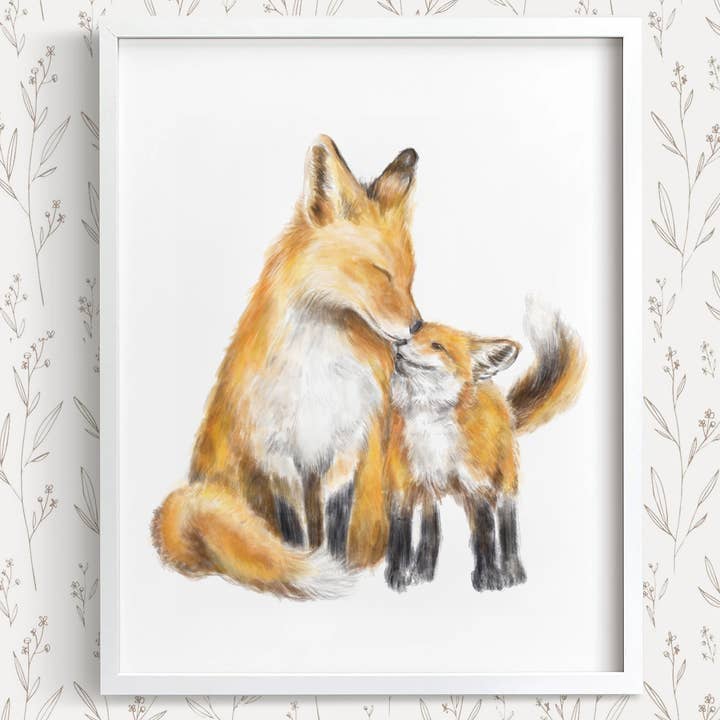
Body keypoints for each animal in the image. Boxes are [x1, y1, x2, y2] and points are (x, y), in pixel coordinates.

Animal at [152, 135, 423, 599]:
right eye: (380, 272)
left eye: (409, 276)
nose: (417, 327)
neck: (318, 370)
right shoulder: (276, 456)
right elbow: (294, 533)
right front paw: (307, 567)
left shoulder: (345, 449)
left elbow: (335, 526)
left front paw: (339, 566)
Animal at [383, 299, 586, 593]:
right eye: (413, 334)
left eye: (437, 346)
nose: (400, 341)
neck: (430, 427)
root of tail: (503, 402)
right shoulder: (402, 487)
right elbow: (400, 539)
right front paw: (398, 577)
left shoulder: (475, 486)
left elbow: (484, 537)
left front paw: (489, 578)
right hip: (431, 494)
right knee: (431, 532)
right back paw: (423, 572)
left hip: (504, 485)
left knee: (506, 526)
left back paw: (513, 572)